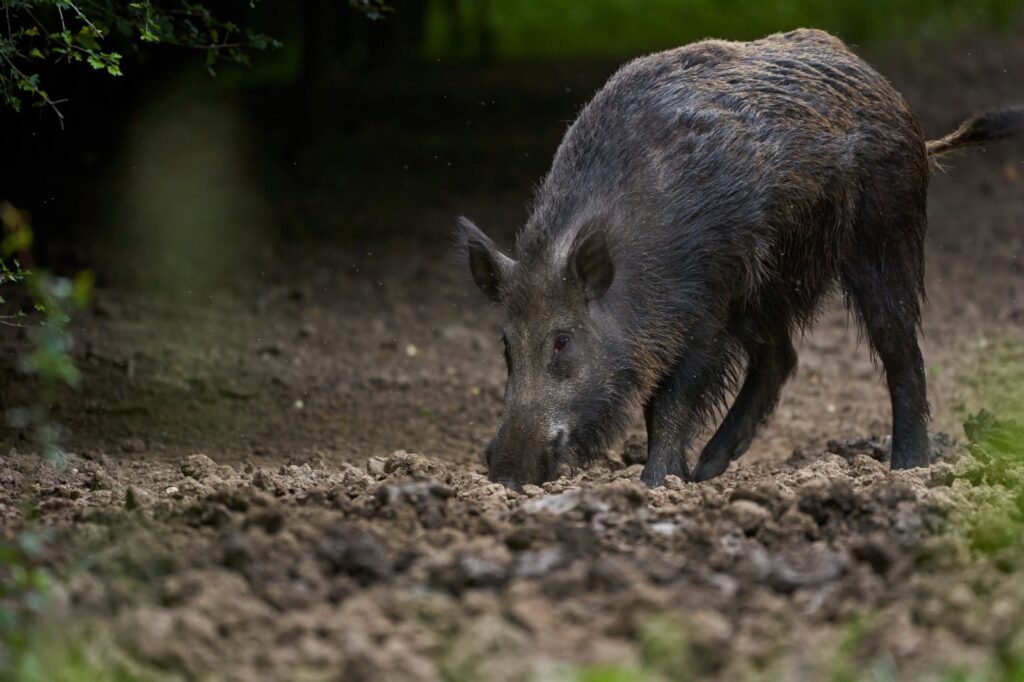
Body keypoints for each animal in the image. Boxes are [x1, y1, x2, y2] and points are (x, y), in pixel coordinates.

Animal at [457, 29, 1024, 488]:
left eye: (561, 341)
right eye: (506, 345)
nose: (507, 474)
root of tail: (899, 107)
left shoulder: (706, 307)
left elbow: (672, 400)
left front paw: (657, 483)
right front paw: (681, 478)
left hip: (883, 233)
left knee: (899, 348)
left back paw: (908, 469)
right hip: (774, 283)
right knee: (781, 357)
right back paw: (711, 468)